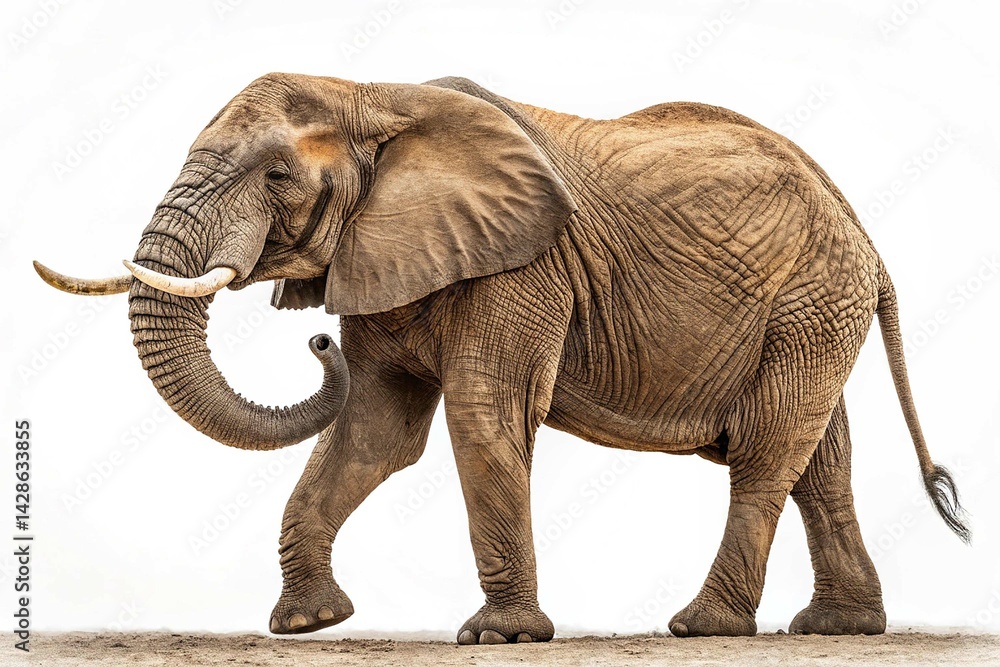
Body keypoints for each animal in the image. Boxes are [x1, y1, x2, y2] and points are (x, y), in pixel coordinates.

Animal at [36, 73, 969, 644]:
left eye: (274, 177)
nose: (316, 340)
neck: (373, 96)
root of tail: (866, 235)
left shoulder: (523, 265)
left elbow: (482, 413)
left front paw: (500, 635)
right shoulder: (393, 251)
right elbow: (375, 428)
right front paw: (306, 624)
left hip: (811, 298)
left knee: (769, 449)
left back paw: (700, 626)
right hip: (811, 308)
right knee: (819, 457)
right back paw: (839, 628)